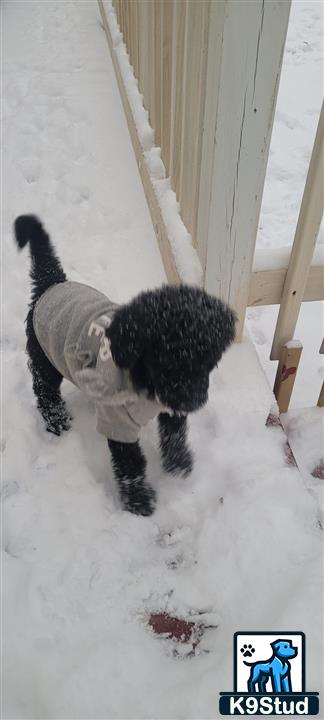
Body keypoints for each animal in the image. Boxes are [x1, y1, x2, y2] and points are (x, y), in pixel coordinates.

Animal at [14, 217, 235, 516]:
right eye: (165, 361)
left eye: (209, 360)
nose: (194, 401)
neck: (146, 385)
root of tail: (51, 283)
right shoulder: (117, 420)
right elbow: (130, 463)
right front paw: (139, 502)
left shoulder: (169, 406)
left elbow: (174, 434)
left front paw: (178, 466)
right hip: (44, 356)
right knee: (44, 388)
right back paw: (57, 420)